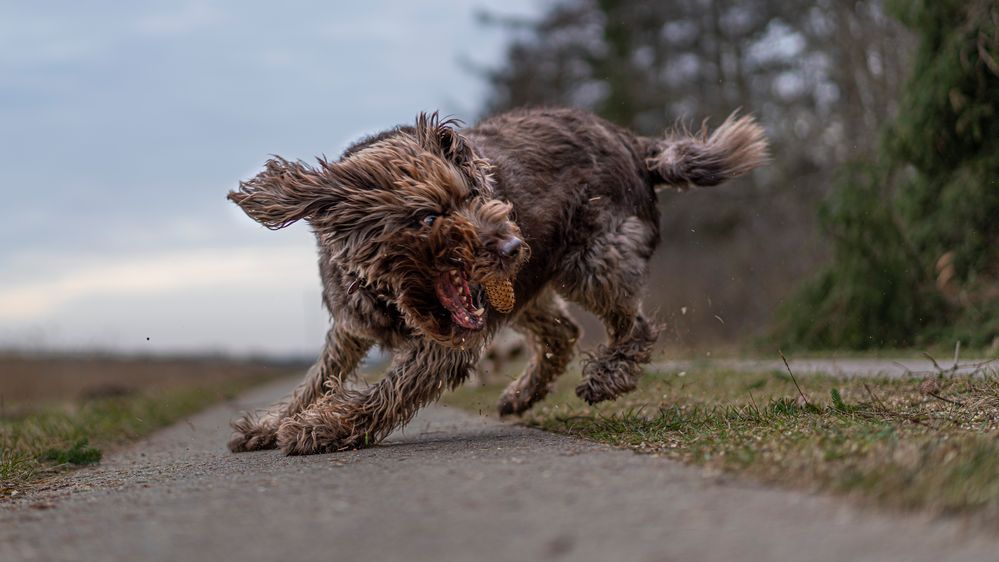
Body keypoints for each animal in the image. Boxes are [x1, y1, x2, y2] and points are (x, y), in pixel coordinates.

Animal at [230, 107, 768, 452]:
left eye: (473, 195)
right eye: (428, 216)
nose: (512, 246)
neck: (390, 291)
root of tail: (633, 142)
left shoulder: (447, 344)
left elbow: (387, 391)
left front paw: (319, 429)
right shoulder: (352, 325)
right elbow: (316, 380)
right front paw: (271, 424)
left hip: (592, 263)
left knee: (634, 328)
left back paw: (605, 377)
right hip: (525, 290)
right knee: (564, 333)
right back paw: (522, 393)